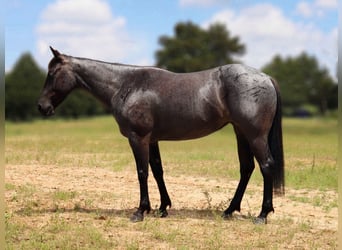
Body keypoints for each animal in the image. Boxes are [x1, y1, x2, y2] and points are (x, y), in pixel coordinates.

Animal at [37, 47, 284, 225]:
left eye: (52, 73)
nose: (42, 107)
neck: (125, 84)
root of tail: (266, 77)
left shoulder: (138, 138)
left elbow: (142, 172)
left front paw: (140, 210)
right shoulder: (152, 139)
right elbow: (157, 170)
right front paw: (162, 208)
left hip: (255, 136)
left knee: (266, 166)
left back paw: (262, 215)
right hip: (241, 132)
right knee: (247, 168)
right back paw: (229, 210)